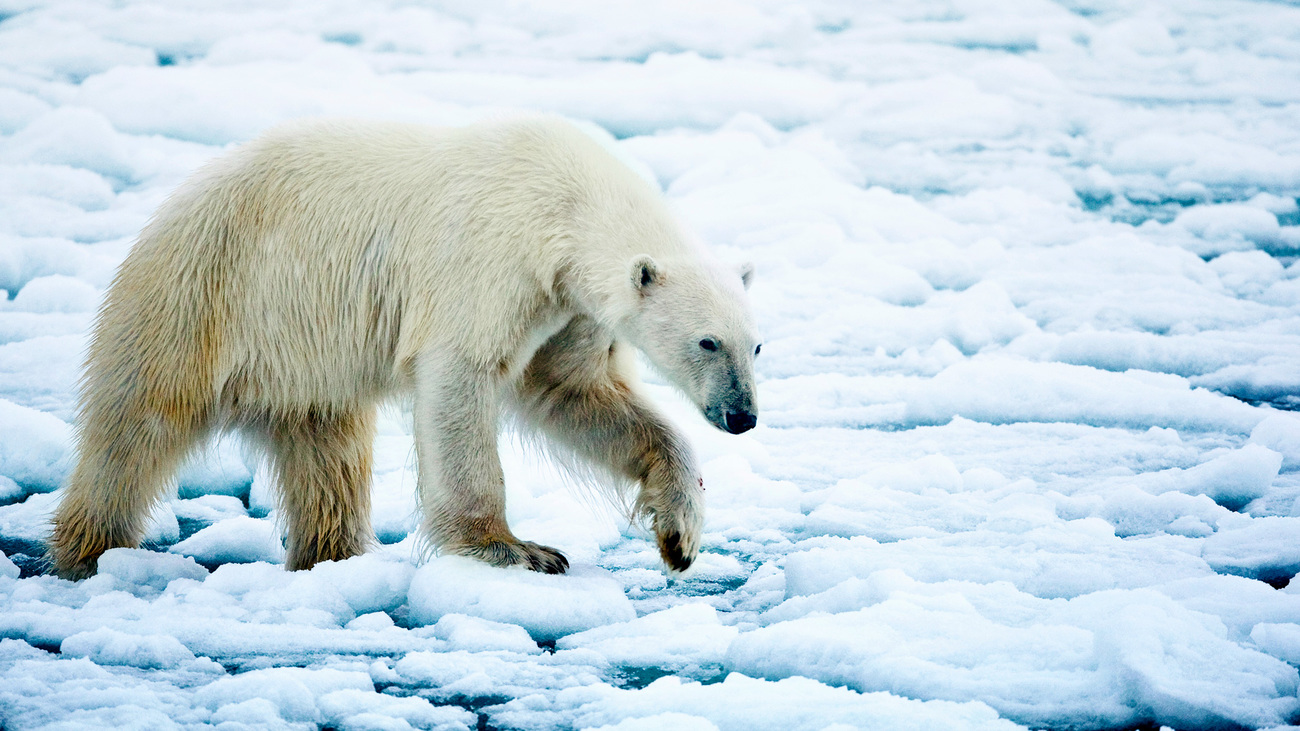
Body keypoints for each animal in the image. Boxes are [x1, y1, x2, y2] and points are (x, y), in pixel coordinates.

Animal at [48, 116, 759, 577]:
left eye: (755, 346)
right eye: (707, 341)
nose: (743, 416)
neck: (563, 201)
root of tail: (169, 209)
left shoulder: (568, 308)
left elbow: (572, 390)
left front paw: (680, 534)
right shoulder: (491, 259)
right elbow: (461, 377)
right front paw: (518, 549)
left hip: (302, 360)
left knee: (327, 454)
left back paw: (330, 555)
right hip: (203, 299)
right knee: (136, 431)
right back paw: (88, 550)